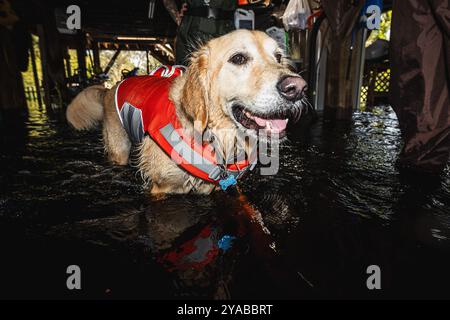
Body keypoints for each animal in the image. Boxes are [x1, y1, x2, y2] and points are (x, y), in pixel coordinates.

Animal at [66, 30, 306, 195]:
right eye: (238, 58)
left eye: (278, 57)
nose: (297, 88)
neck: (216, 137)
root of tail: (111, 87)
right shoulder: (161, 188)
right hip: (119, 149)